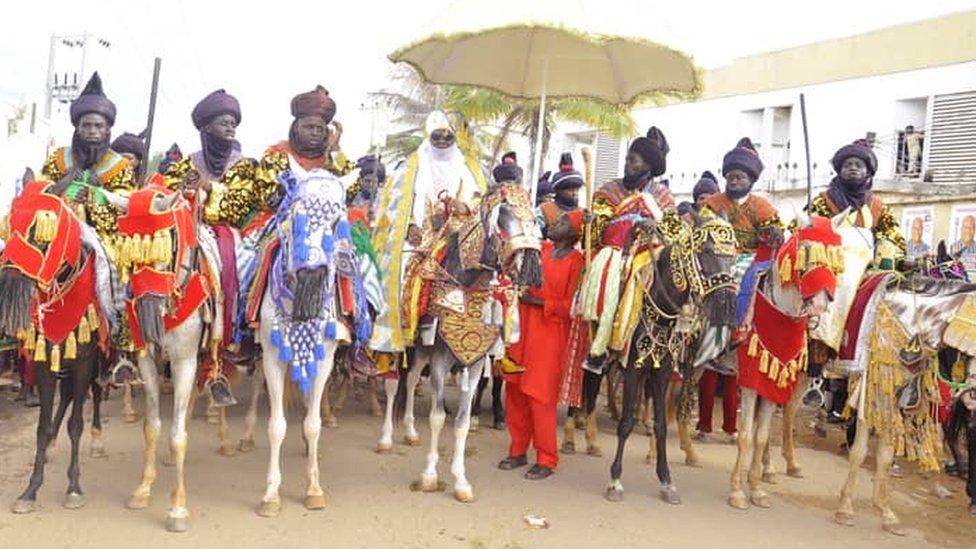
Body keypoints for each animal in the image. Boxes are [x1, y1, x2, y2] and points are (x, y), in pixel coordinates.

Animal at [0, 181, 120, 512]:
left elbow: (76, 424)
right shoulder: (46, 359)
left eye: (42, 229)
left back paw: (97, 439)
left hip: (98, 360)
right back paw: (54, 440)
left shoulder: (84, 360)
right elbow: (41, 427)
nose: (8, 281)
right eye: (10, 224)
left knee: (93, 395)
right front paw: (30, 489)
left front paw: (73, 487)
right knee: (65, 398)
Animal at [248, 167, 374, 512]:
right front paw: (270, 494)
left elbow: (313, 423)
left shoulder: (325, 359)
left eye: (337, 221)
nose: (311, 279)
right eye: (295, 214)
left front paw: (313, 488)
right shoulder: (271, 357)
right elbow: (276, 427)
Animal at [390, 183, 540, 500]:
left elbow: (461, 421)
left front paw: (460, 481)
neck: (466, 284)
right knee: (401, 384)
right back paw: (395, 435)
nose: (530, 264)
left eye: (534, 217)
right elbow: (437, 417)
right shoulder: (439, 360)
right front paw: (429, 476)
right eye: (502, 217)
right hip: (413, 348)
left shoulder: (475, 362)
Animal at [604, 213, 740, 500]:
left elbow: (662, 425)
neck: (660, 309)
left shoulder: (663, 371)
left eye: (733, 253)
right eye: (706, 251)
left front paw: (666, 479)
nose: (727, 304)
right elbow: (626, 423)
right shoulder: (633, 368)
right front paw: (615, 479)